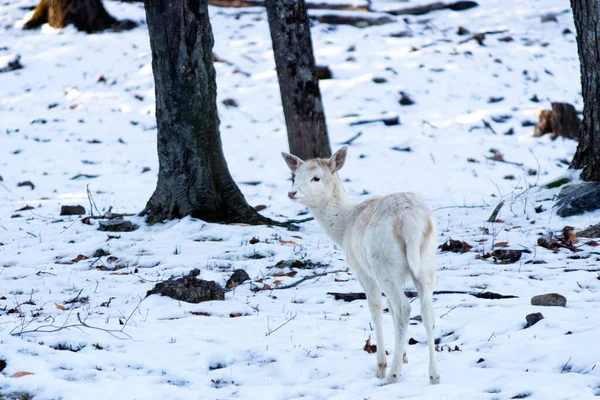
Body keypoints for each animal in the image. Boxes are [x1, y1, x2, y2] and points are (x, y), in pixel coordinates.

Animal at [282, 147, 440, 384]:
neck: (344, 227)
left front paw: (382, 366)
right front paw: (403, 356)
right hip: (426, 261)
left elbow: (376, 308)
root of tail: (410, 219)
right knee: (426, 309)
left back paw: (392, 375)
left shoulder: (362, 270)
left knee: (404, 308)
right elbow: (391, 309)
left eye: (316, 178)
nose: (292, 193)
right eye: (295, 175)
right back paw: (434, 375)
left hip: (384, 263)